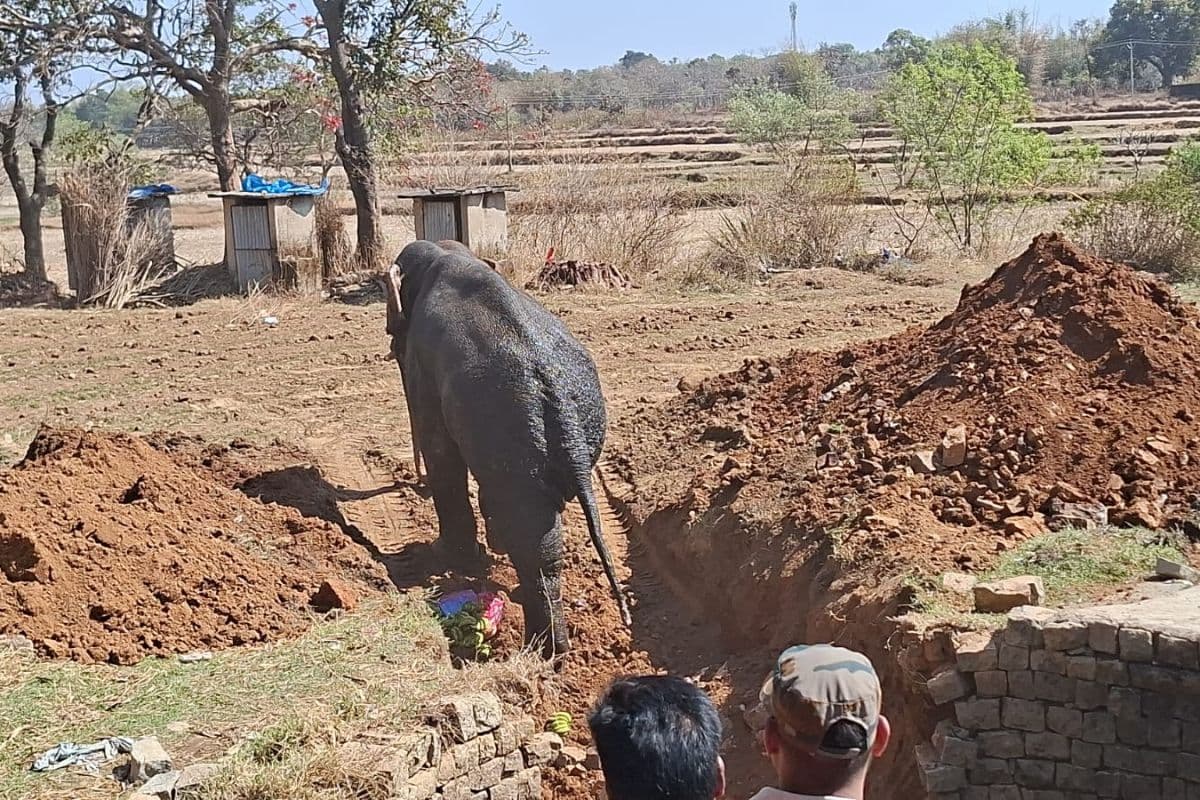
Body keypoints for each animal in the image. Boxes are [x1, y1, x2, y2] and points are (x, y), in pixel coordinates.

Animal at [385, 239, 631, 656]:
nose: (412, 483)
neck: (445, 253)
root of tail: (556, 390)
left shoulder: (422, 364)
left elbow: (440, 451)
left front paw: (443, 555)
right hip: (569, 430)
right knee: (541, 530)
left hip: (510, 428)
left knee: (533, 540)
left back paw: (545, 651)